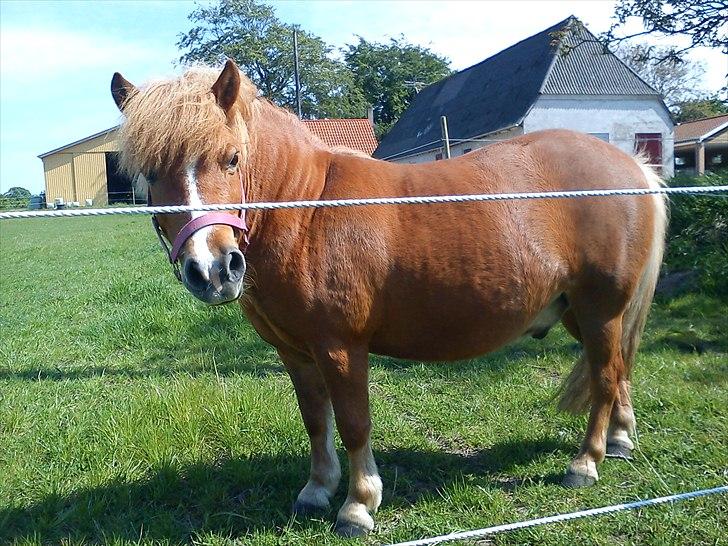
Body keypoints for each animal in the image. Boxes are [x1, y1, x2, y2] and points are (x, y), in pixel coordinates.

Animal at [110, 60, 667, 537]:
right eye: (150, 175)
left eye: (232, 159)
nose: (212, 270)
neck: (307, 210)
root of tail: (631, 165)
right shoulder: (295, 352)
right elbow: (315, 419)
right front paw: (317, 489)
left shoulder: (340, 348)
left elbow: (354, 423)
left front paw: (358, 504)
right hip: (580, 312)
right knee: (616, 369)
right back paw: (621, 439)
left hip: (599, 310)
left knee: (604, 376)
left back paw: (587, 462)